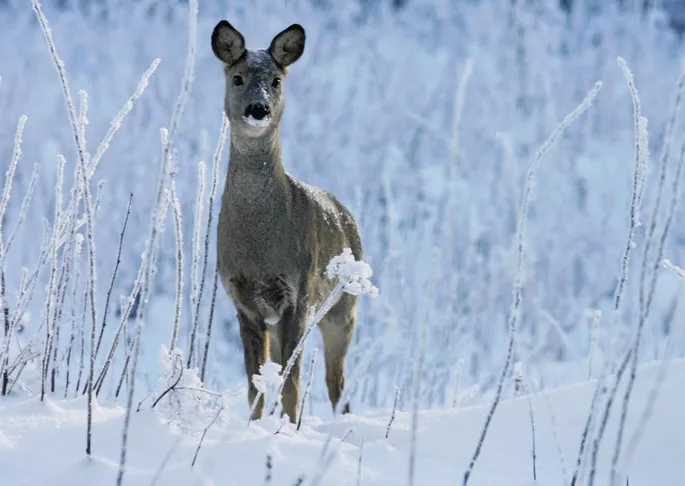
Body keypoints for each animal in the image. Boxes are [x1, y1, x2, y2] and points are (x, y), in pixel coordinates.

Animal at [211, 19, 364, 422]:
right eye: (237, 77)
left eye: (276, 79)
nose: (258, 108)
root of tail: (345, 213)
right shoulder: (243, 300)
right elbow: (257, 386)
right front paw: (257, 426)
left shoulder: (297, 291)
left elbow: (292, 386)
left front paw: (289, 428)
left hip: (342, 307)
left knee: (337, 382)